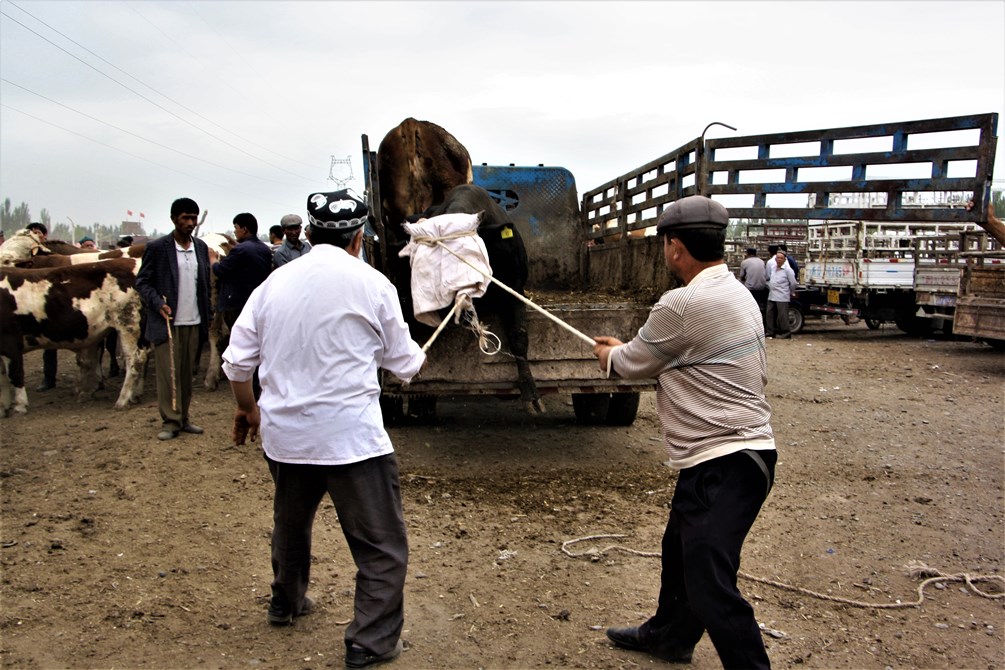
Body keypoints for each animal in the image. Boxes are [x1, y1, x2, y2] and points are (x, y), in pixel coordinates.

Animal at [0, 259, 147, 411]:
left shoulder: (10, 342)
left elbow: (14, 375)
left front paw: (19, 406)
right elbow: (3, 378)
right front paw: (3, 407)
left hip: (128, 326)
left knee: (135, 360)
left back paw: (122, 400)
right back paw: (134, 395)